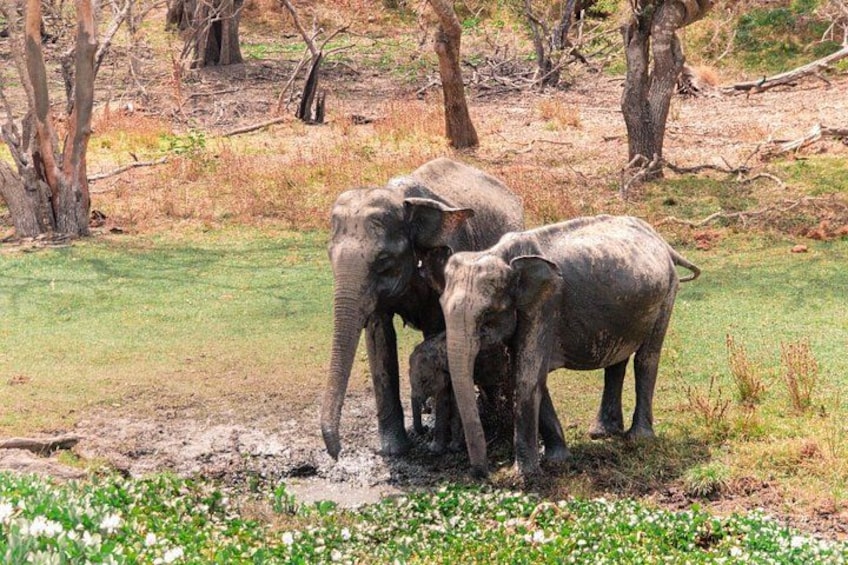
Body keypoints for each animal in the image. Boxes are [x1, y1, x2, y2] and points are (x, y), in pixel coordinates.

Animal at [321, 157, 529, 460]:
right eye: (329, 255)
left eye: (383, 260)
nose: (337, 453)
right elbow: (379, 335)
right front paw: (394, 450)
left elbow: (439, 331)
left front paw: (446, 444)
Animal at [439, 215, 701, 478]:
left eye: (487, 315)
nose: (485, 473)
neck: (500, 254)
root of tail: (662, 241)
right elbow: (526, 374)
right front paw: (556, 460)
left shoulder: (545, 303)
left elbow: (527, 375)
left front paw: (523, 476)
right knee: (617, 359)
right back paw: (602, 433)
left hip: (667, 292)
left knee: (646, 358)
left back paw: (638, 439)